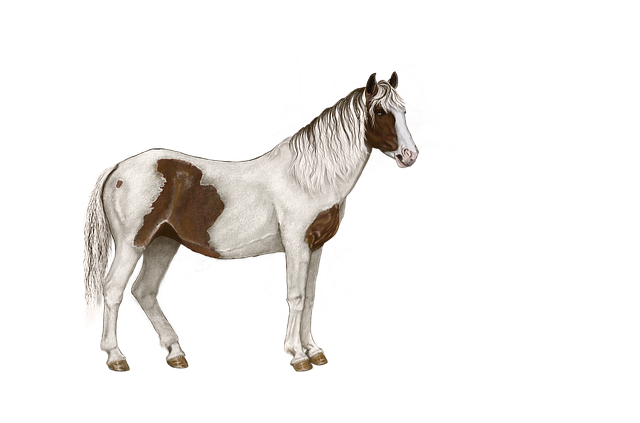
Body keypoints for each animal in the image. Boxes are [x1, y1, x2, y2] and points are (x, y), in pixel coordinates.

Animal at [81, 70, 419, 373]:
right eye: (379, 111)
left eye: (404, 109)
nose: (410, 156)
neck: (309, 178)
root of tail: (117, 170)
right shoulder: (296, 244)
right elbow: (297, 297)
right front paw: (297, 356)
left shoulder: (315, 247)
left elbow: (310, 298)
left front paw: (314, 351)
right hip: (132, 244)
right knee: (114, 290)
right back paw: (116, 358)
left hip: (163, 243)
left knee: (145, 292)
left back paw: (176, 354)